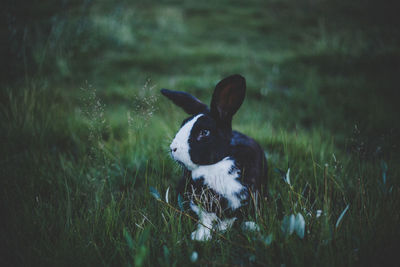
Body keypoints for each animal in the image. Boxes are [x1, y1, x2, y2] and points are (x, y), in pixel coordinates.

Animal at [160, 74, 268, 242]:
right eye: (183, 123)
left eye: (204, 132)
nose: (173, 148)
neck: (215, 164)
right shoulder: (199, 201)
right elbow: (205, 217)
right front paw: (200, 236)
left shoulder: (248, 195)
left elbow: (236, 216)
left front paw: (244, 227)